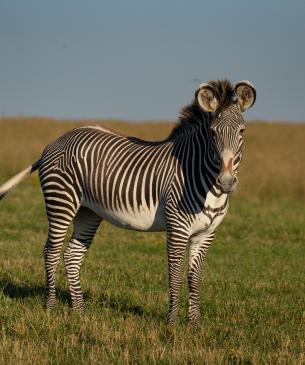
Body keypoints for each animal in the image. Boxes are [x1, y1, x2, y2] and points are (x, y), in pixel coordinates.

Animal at [0, 79, 254, 322]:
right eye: (212, 133)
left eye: (242, 131)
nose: (226, 181)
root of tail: (58, 140)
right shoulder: (177, 229)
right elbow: (175, 277)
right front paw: (172, 324)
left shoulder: (206, 234)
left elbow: (196, 279)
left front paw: (195, 324)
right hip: (61, 202)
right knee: (51, 251)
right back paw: (51, 308)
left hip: (88, 211)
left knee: (72, 254)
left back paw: (80, 312)